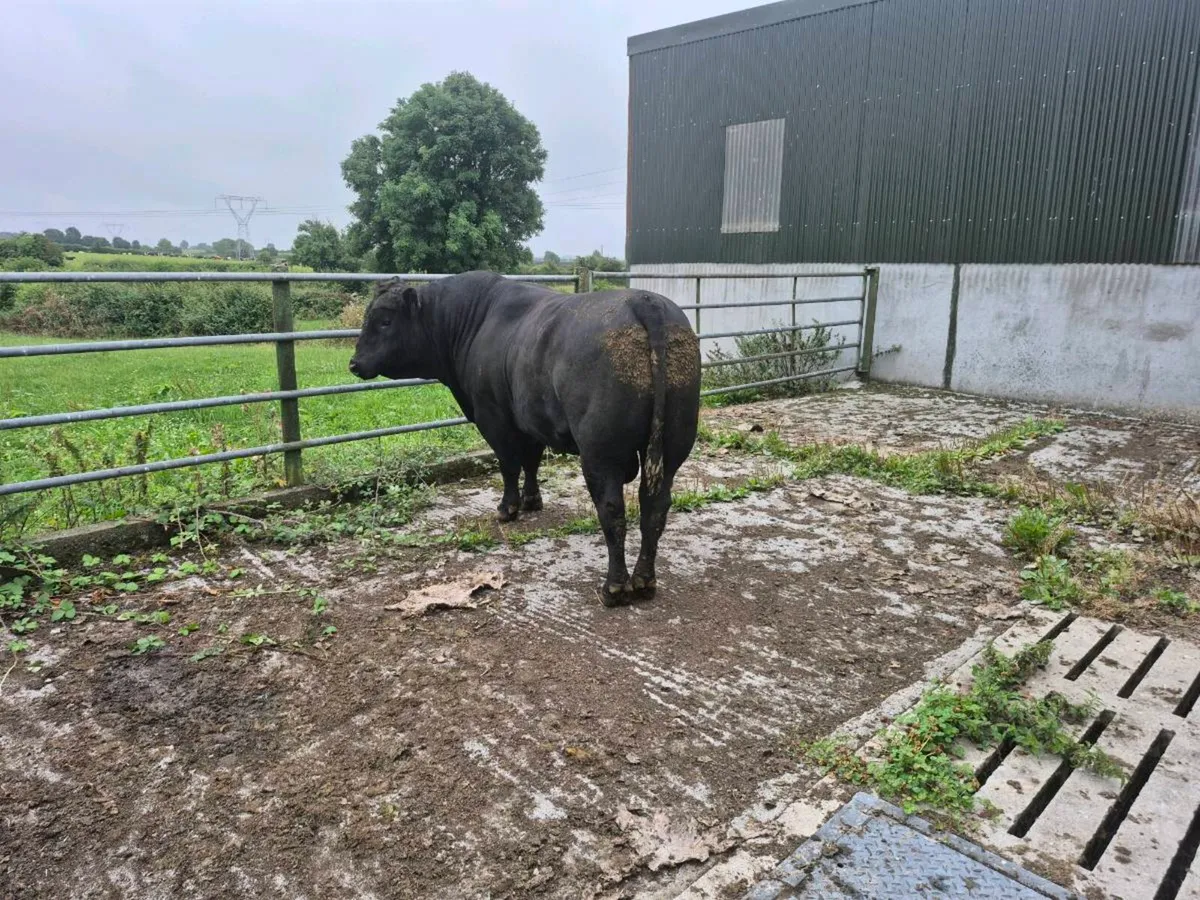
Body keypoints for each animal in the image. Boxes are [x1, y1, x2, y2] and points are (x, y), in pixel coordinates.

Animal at [349, 271, 701, 606]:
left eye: (384, 321)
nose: (354, 363)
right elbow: (532, 461)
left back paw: (614, 587)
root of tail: (644, 301)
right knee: (655, 507)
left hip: (600, 452)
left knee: (612, 510)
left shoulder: (493, 416)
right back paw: (644, 581)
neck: (471, 323)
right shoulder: (532, 419)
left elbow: (508, 465)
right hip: (673, 444)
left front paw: (508, 508)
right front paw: (533, 500)